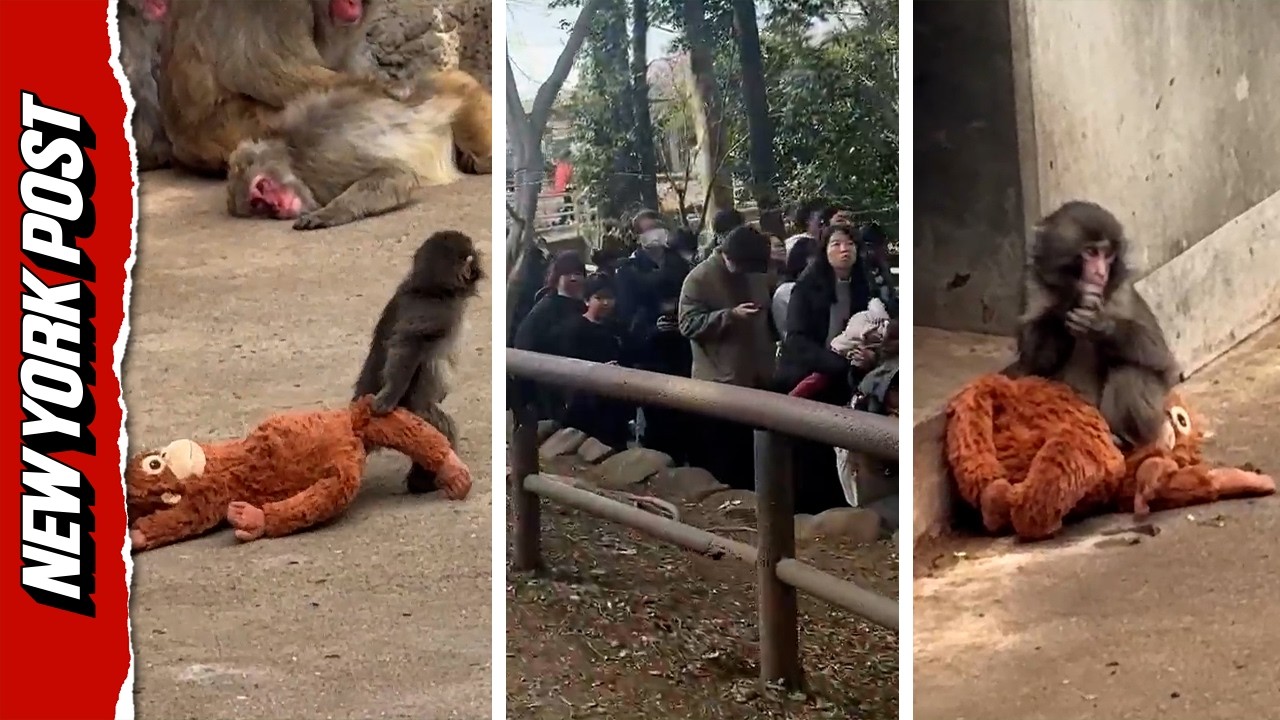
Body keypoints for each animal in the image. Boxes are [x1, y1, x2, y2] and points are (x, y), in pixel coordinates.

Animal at [223, 68, 492, 230]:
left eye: (262, 186)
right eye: (258, 205)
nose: (276, 207)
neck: (292, 159)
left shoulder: (324, 162)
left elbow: (396, 173)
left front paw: (330, 213)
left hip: (462, 91)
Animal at [353, 230, 485, 493]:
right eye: (471, 257)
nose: (478, 263)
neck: (430, 289)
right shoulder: (437, 311)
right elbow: (408, 345)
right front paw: (387, 398)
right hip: (416, 414)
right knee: (442, 431)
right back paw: (424, 481)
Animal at [1015, 200, 1181, 449]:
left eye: (1108, 255)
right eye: (1091, 252)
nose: (1101, 273)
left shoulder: (1121, 291)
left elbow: (1159, 356)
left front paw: (1102, 327)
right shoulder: (1033, 286)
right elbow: (1034, 361)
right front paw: (1073, 300)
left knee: (1129, 369)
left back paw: (1124, 439)